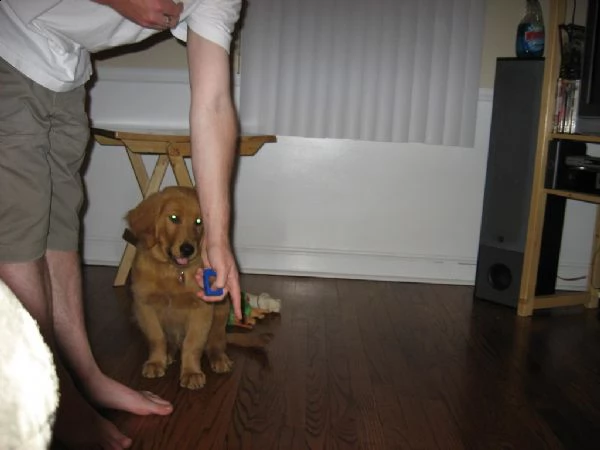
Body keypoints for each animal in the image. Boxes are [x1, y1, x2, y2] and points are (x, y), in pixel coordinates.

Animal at [127, 185, 264, 388]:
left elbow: (192, 344)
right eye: (174, 218)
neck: (173, 271)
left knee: (216, 342)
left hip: (221, 311)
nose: (187, 249)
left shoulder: (202, 309)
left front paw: (191, 372)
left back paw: (219, 359)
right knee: (173, 343)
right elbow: (156, 338)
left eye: (198, 221)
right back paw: (168, 354)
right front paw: (156, 362)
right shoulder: (144, 306)